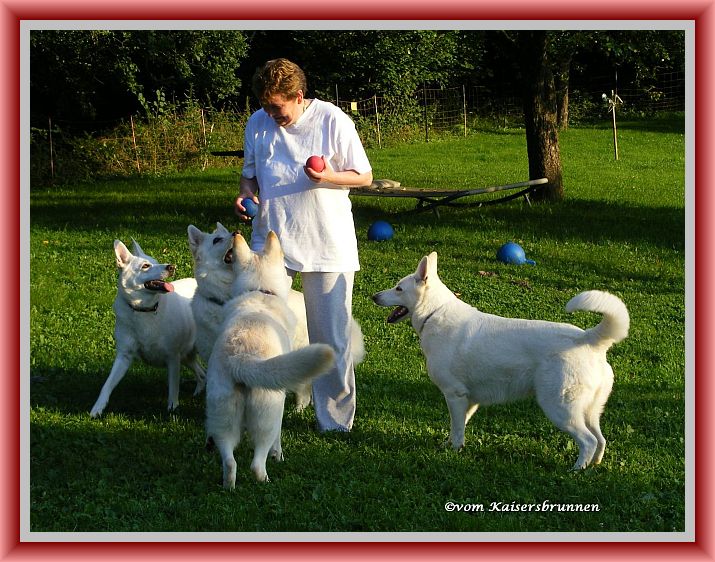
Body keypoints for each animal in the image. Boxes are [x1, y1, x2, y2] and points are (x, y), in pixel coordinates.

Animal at [90, 238, 204, 418]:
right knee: (202, 374)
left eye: (156, 261)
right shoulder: (123, 356)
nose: (171, 266)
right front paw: (98, 408)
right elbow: (107, 385)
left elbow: (173, 387)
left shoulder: (172, 357)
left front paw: (172, 408)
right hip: (186, 356)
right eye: (146, 266)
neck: (144, 310)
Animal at [206, 231, 338, 486]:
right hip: (269, 415)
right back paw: (266, 479)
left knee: (230, 461)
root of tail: (241, 359)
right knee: (257, 461)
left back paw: (228, 485)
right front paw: (279, 455)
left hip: (222, 417)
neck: (260, 291)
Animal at [374, 250, 632, 468]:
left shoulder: (454, 395)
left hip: (560, 408)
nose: (374, 296)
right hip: (589, 411)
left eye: (398, 289)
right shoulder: (468, 400)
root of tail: (590, 339)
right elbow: (458, 427)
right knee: (600, 439)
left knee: (588, 441)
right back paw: (593, 466)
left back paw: (577, 469)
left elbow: (456, 429)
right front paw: (450, 446)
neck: (433, 313)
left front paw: (453, 452)